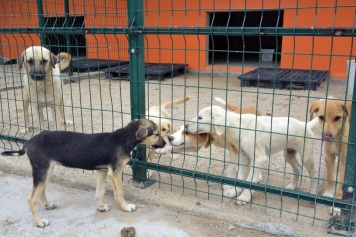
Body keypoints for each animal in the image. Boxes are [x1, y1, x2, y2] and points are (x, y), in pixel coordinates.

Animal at [0, 118, 167, 228]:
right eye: (156, 134)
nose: (166, 143)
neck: (124, 138)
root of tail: (28, 142)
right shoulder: (115, 172)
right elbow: (119, 193)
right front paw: (126, 208)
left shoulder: (102, 170)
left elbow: (100, 192)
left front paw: (100, 208)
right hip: (42, 170)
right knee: (32, 198)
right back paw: (40, 222)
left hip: (46, 170)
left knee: (40, 191)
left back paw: (48, 205)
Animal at [185, 104, 318, 205]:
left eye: (200, 117)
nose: (185, 125)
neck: (239, 126)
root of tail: (305, 124)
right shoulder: (244, 156)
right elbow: (241, 178)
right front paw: (234, 191)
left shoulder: (259, 159)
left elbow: (250, 180)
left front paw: (244, 197)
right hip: (289, 154)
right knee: (298, 168)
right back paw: (292, 185)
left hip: (306, 156)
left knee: (314, 174)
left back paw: (313, 195)